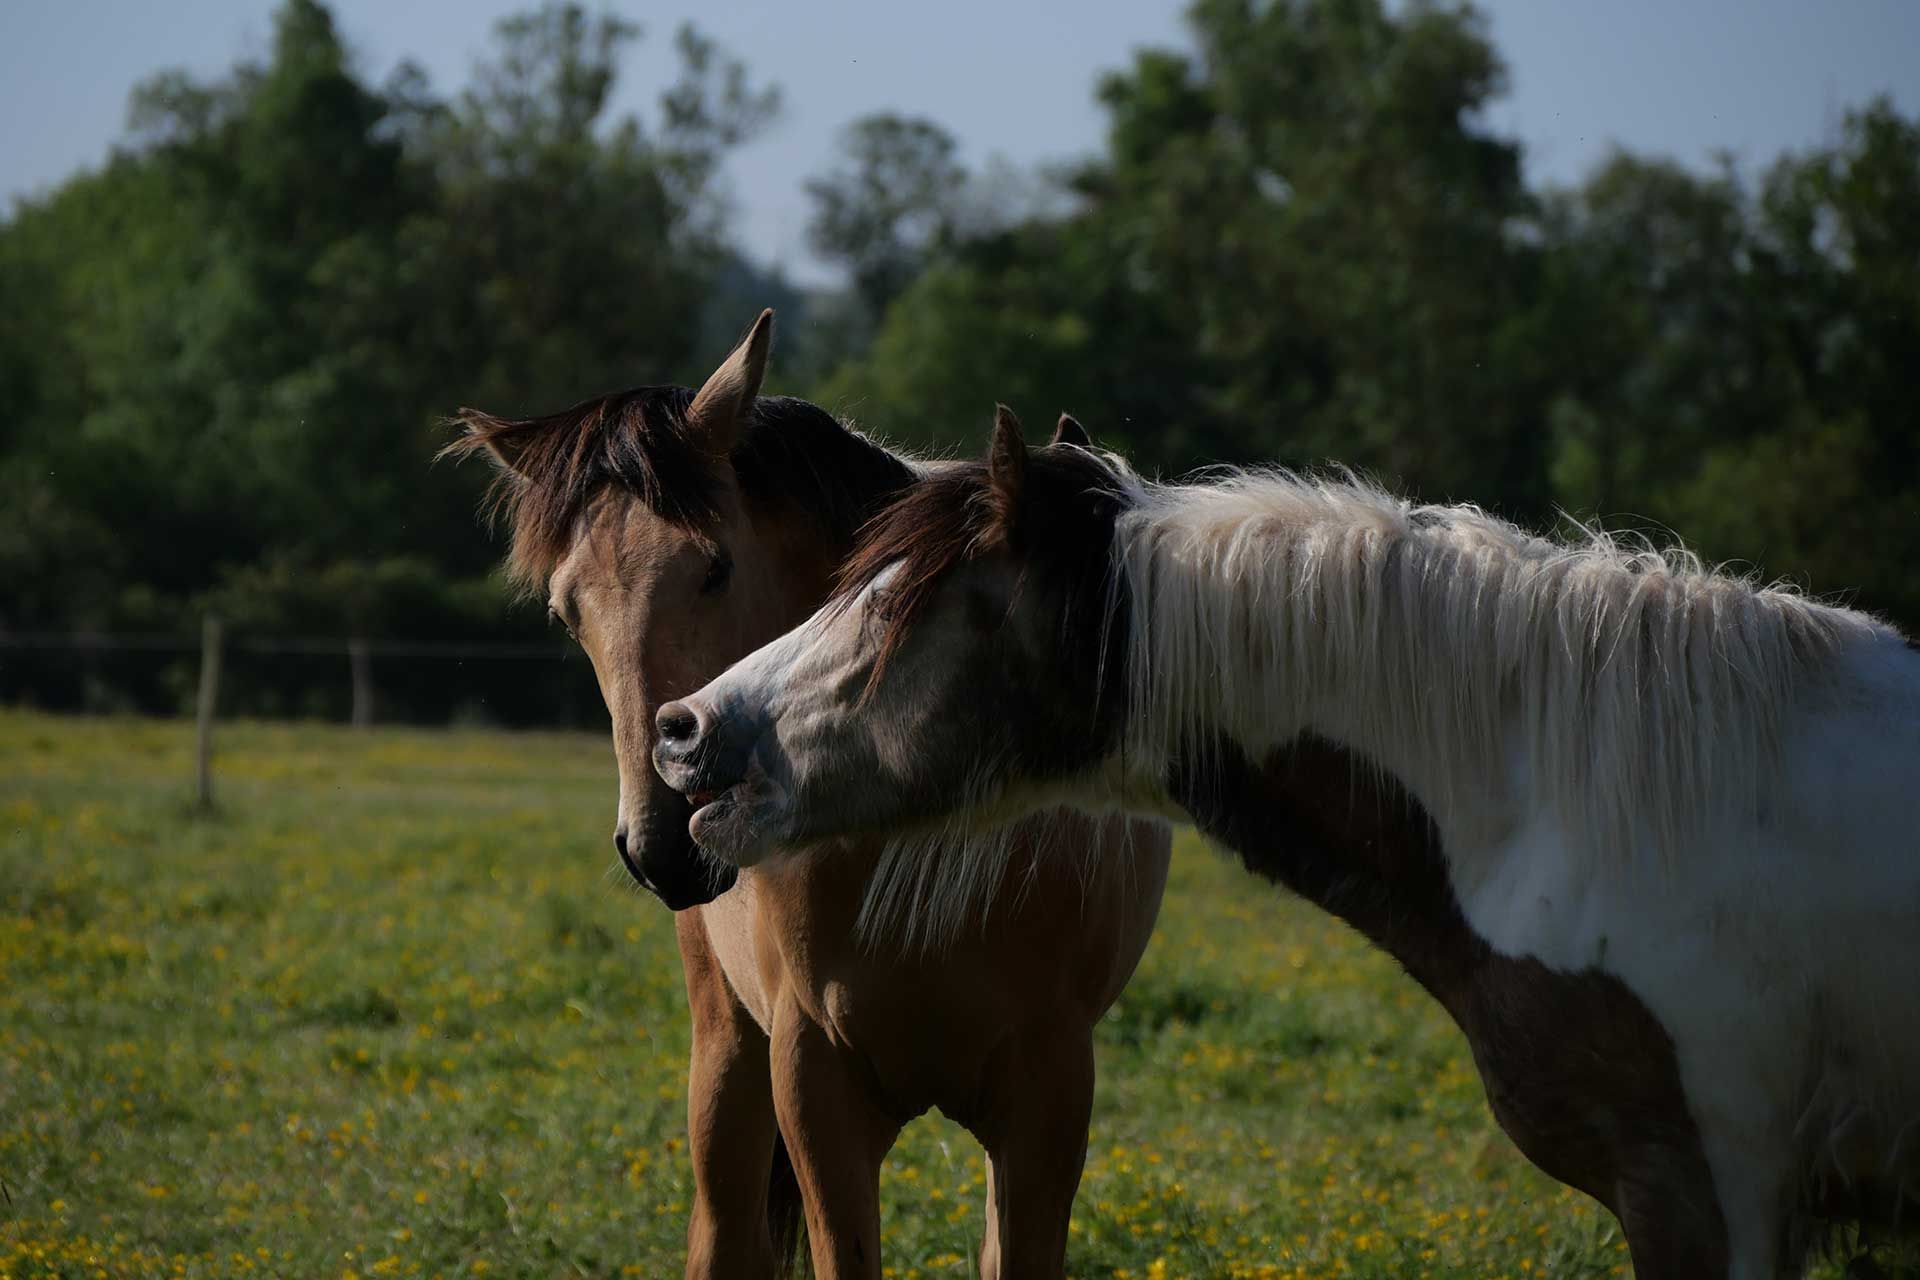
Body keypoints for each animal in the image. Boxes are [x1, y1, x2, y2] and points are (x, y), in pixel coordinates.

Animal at [449, 322, 1167, 1280]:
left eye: (715, 567)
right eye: (567, 610)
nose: (661, 840)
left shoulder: (1049, 1091)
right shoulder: (815, 1081)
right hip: (727, 1052)